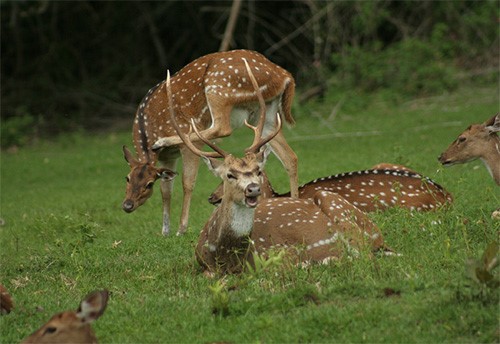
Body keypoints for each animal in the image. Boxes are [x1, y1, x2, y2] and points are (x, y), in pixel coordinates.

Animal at [123, 49, 298, 236]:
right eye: (127, 178)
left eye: (149, 184)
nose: (127, 205)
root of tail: (285, 76)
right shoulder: (167, 157)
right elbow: (166, 190)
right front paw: (165, 231)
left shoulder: (187, 148)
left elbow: (187, 183)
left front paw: (181, 229)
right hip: (266, 114)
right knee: (290, 157)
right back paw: (295, 201)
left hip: (218, 89)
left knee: (222, 127)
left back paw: (163, 141)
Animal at [169, 58, 386, 274]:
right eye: (229, 175)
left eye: (258, 171)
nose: (253, 189)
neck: (226, 256)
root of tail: (378, 233)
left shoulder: (278, 253)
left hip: (340, 211)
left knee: (364, 256)